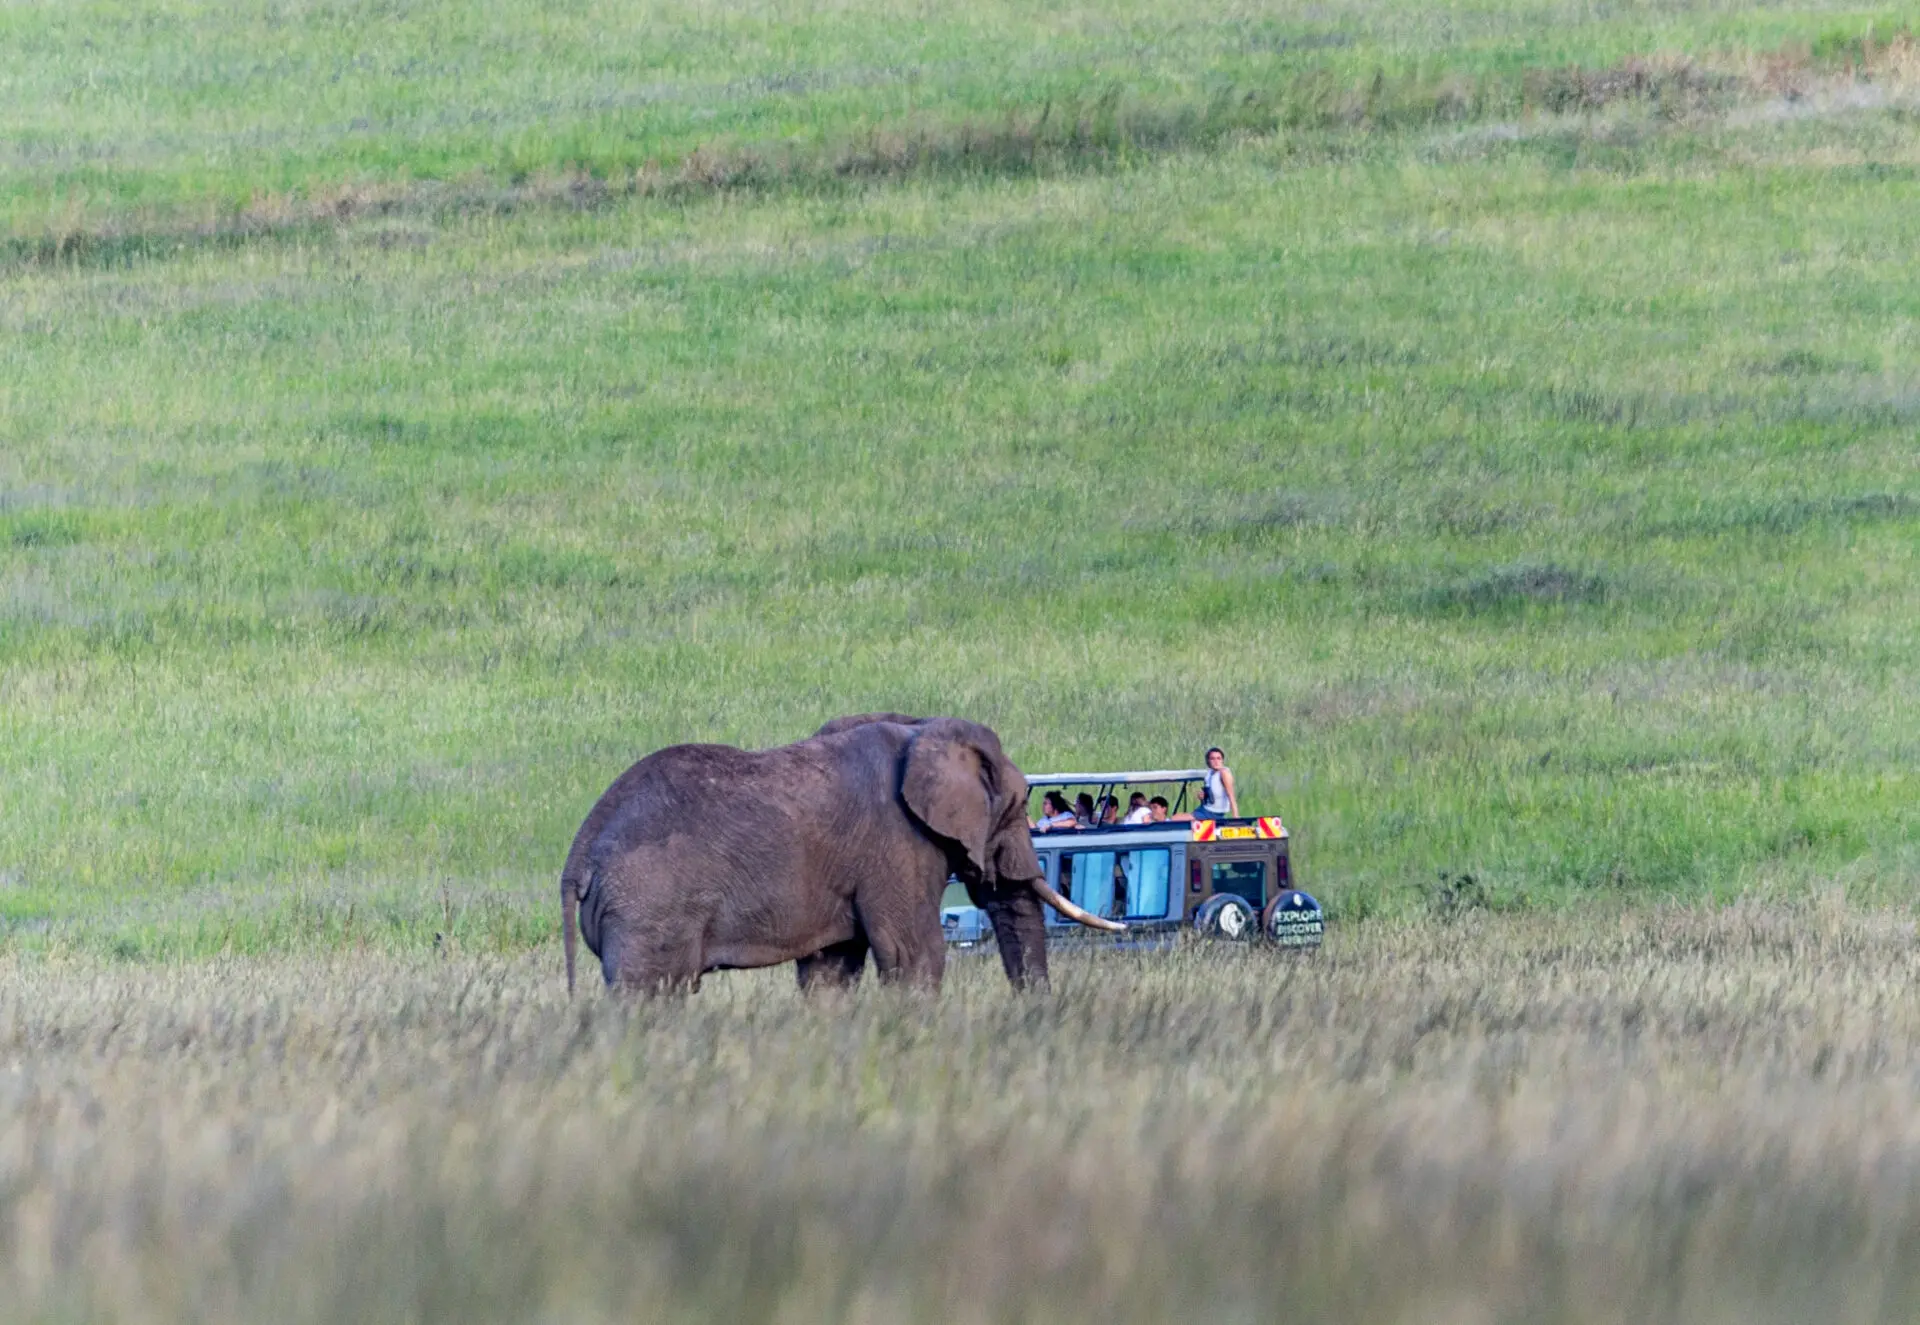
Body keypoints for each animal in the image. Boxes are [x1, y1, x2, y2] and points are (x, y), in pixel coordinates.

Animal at [560, 714, 1121, 994]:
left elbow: (830, 971)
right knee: (651, 994)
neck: (922, 730)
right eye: (1018, 804)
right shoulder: (896, 844)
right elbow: (914, 955)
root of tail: (579, 853)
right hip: (648, 907)